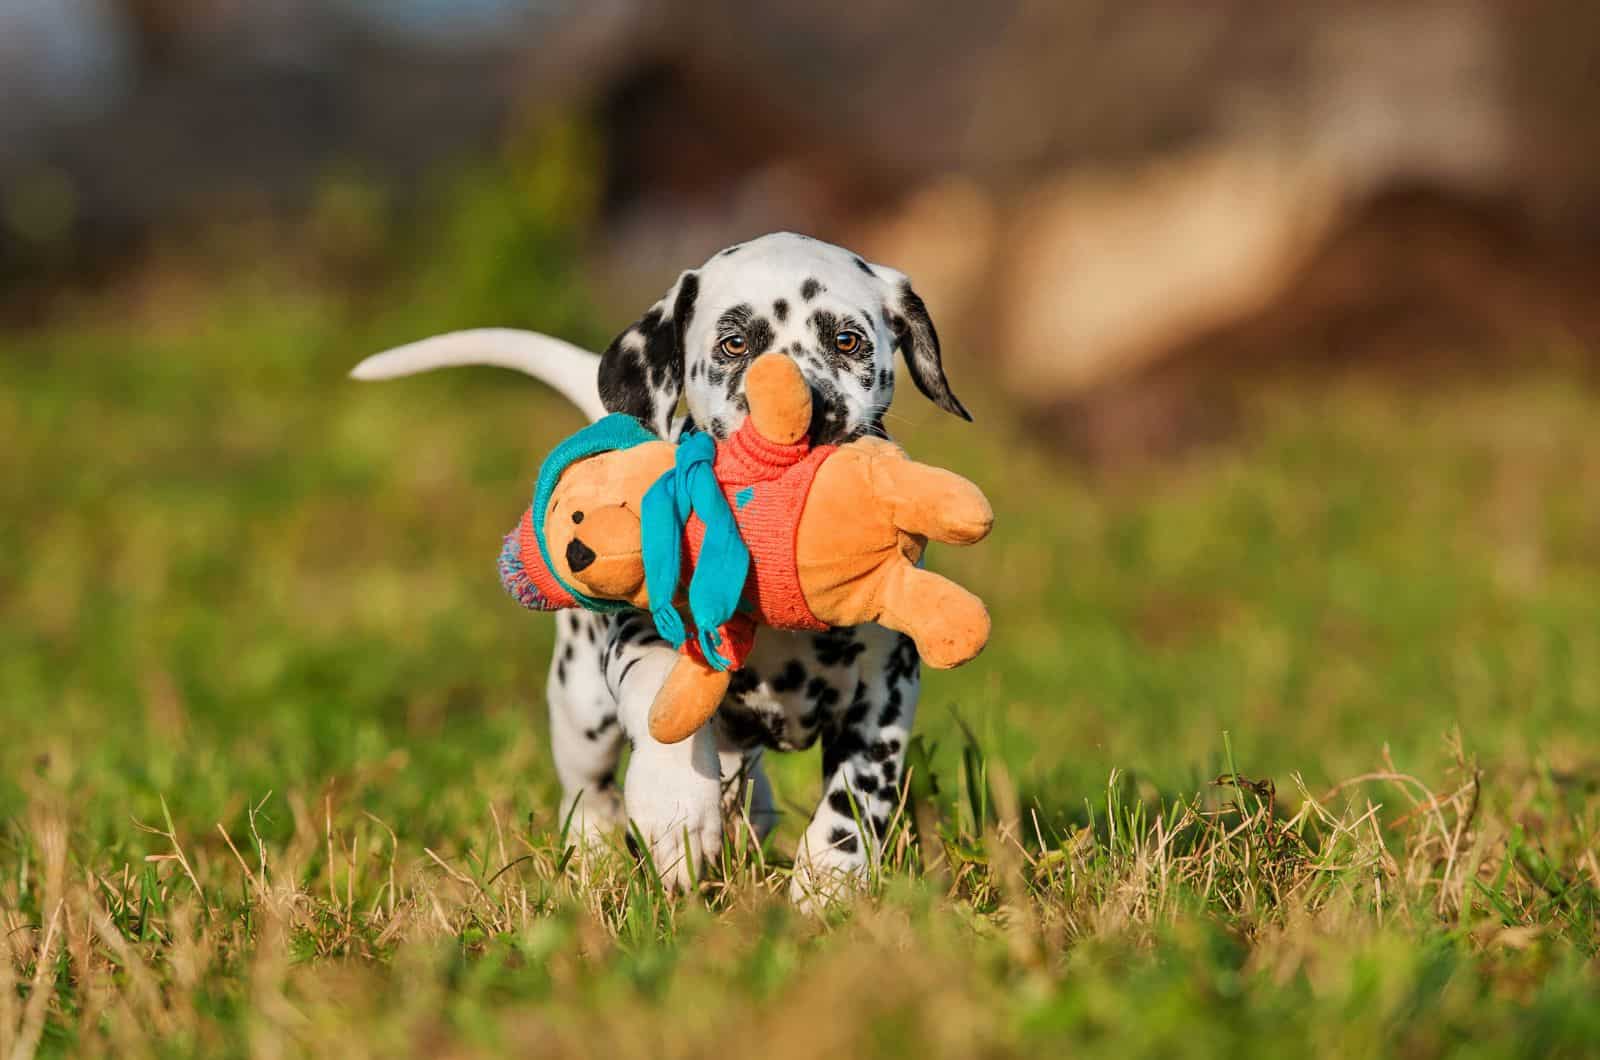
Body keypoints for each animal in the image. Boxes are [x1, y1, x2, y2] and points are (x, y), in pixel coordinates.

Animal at [355, 232, 966, 903]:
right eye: (734, 344)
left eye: (848, 341)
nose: (807, 416)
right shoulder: (644, 637)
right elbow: (659, 706)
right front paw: (676, 810)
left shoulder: (886, 688)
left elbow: (858, 792)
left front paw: (831, 876)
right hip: (580, 706)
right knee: (588, 788)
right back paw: (596, 854)